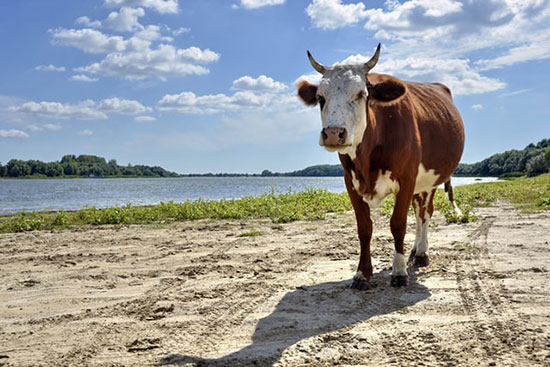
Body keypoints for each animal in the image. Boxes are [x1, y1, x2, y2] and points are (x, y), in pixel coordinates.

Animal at [298, 43, 466, 290]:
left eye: (361, 94)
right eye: (320, 97)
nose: (333, 133)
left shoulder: (407, 178)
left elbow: (398, 224)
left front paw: (399, 271)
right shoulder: (351, 182)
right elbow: (364, 228)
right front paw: (362, 274)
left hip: (431, 181)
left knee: (425, 213)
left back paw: (422, 253)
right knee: (418, 212)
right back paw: (414, 250)